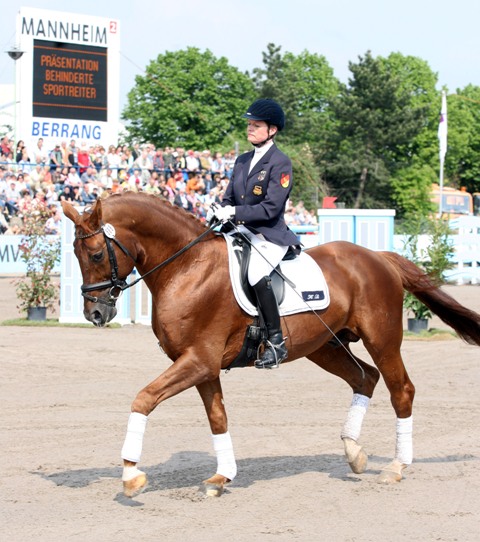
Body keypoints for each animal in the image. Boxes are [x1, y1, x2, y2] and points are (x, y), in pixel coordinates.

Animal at [62, 193, 480, 500]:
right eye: (76, 254)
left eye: (96, 254)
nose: (95, 313)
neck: (188, 267)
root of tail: (379, 257)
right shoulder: (202, 365)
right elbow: (218, 417)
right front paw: (222, 477)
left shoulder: (198, 361)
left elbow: (143, 399)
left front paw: (131, 475)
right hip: (324, 346)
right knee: (366, 378)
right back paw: (354, 453)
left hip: (382, 339)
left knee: (401, 390)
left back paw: (396, 467)